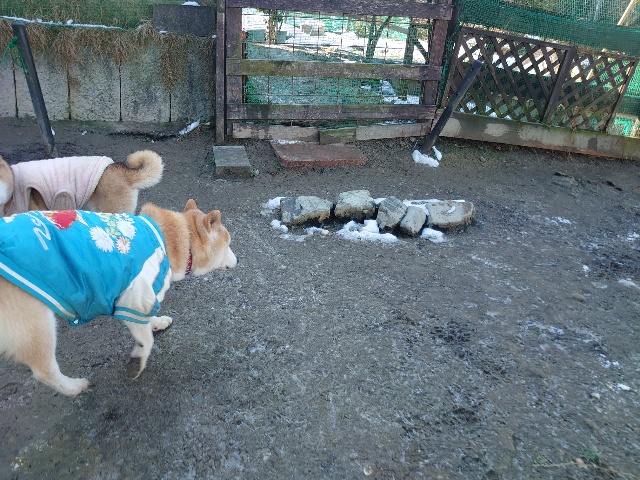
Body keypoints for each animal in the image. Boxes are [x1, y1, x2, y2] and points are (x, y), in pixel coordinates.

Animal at [0, 199, 237, 396]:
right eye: (228, 244)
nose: (237, 260)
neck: (173, 240)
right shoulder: (134, 295)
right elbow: (146, 339)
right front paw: (139, 358)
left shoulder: (143, 298)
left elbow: (149, 317)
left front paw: (157, 322)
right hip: (37, 324)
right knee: (44, 370)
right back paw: (73, 387)